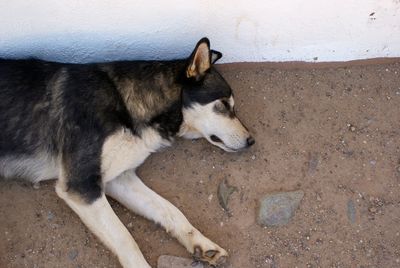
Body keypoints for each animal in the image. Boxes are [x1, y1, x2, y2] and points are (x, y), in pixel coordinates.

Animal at [0, 38, 255, 268]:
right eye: (224, 105)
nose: (252, 140)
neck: (126, 101)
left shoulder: (117, 179)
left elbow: (170, 210)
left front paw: (202, 244)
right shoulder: (81, 187)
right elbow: (125, 238)